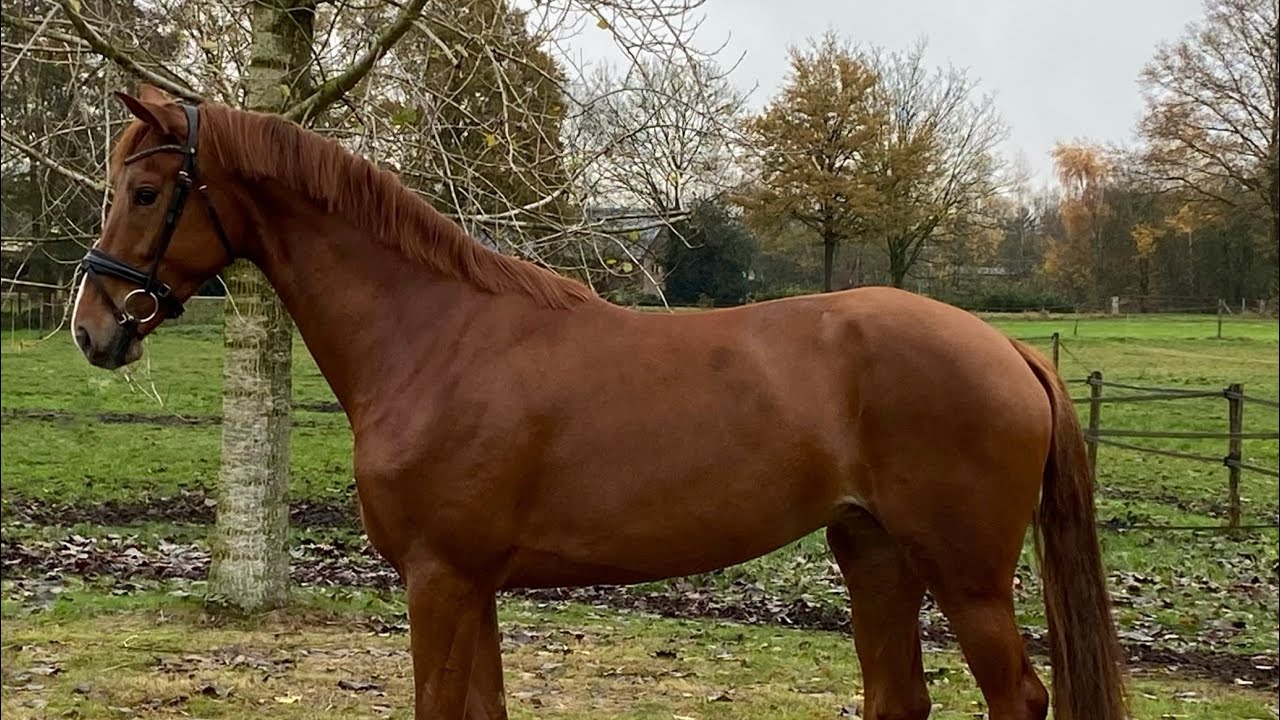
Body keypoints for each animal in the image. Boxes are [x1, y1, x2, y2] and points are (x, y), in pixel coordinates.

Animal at [70, 85, 1127, 720]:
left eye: (146, 189)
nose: (93, 327)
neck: (435, 335)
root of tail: (1006, 347)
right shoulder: (471, 586)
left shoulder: (439, 579)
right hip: (872, 552)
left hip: (967, 576)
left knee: (1018, 696)